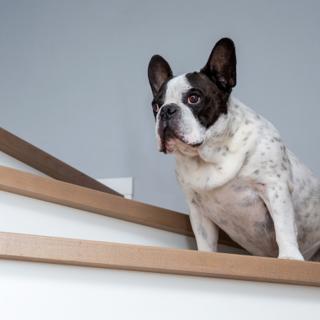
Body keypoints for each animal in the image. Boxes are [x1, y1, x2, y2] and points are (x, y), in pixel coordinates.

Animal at [148, 38, 320, 262]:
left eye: (194, 98)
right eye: (155, 106)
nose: (167, 110)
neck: (211, 154)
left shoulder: (275, 187)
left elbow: (283, 226)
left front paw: (289, 257)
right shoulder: (197, 208)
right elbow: (204, 239)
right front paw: (204, 257)